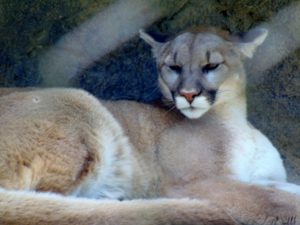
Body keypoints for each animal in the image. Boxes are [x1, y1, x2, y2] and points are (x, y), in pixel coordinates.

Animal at [0, 27, 300, 224]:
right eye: (174, 67)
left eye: (211, 65)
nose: (188, 94)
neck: (234, 118)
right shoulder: (199, 182)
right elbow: (274, 200)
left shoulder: (264, 177)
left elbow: (284, 189)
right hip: (76, 102)